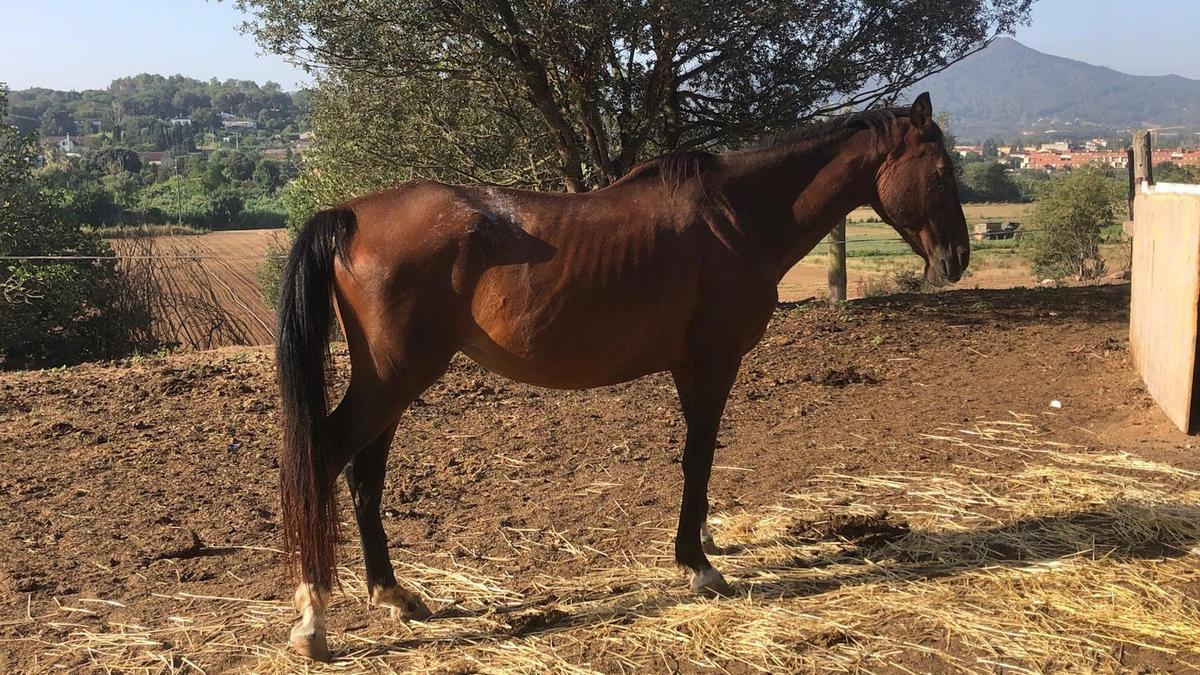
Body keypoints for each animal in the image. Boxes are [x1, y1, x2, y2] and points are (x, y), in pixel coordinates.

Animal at [272, 89, 964, 658]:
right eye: (941, 171)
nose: (956, 257)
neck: (733, 217)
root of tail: (349, 215)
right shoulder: (712, 363)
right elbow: (699, 456)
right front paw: (697, 565)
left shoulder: (693, 368)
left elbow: (700, 457)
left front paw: (705, 540)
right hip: (393, 380)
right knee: (326, 458)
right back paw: (313, 621)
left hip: (392, 386)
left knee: (364, 478)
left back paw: (395, 596)